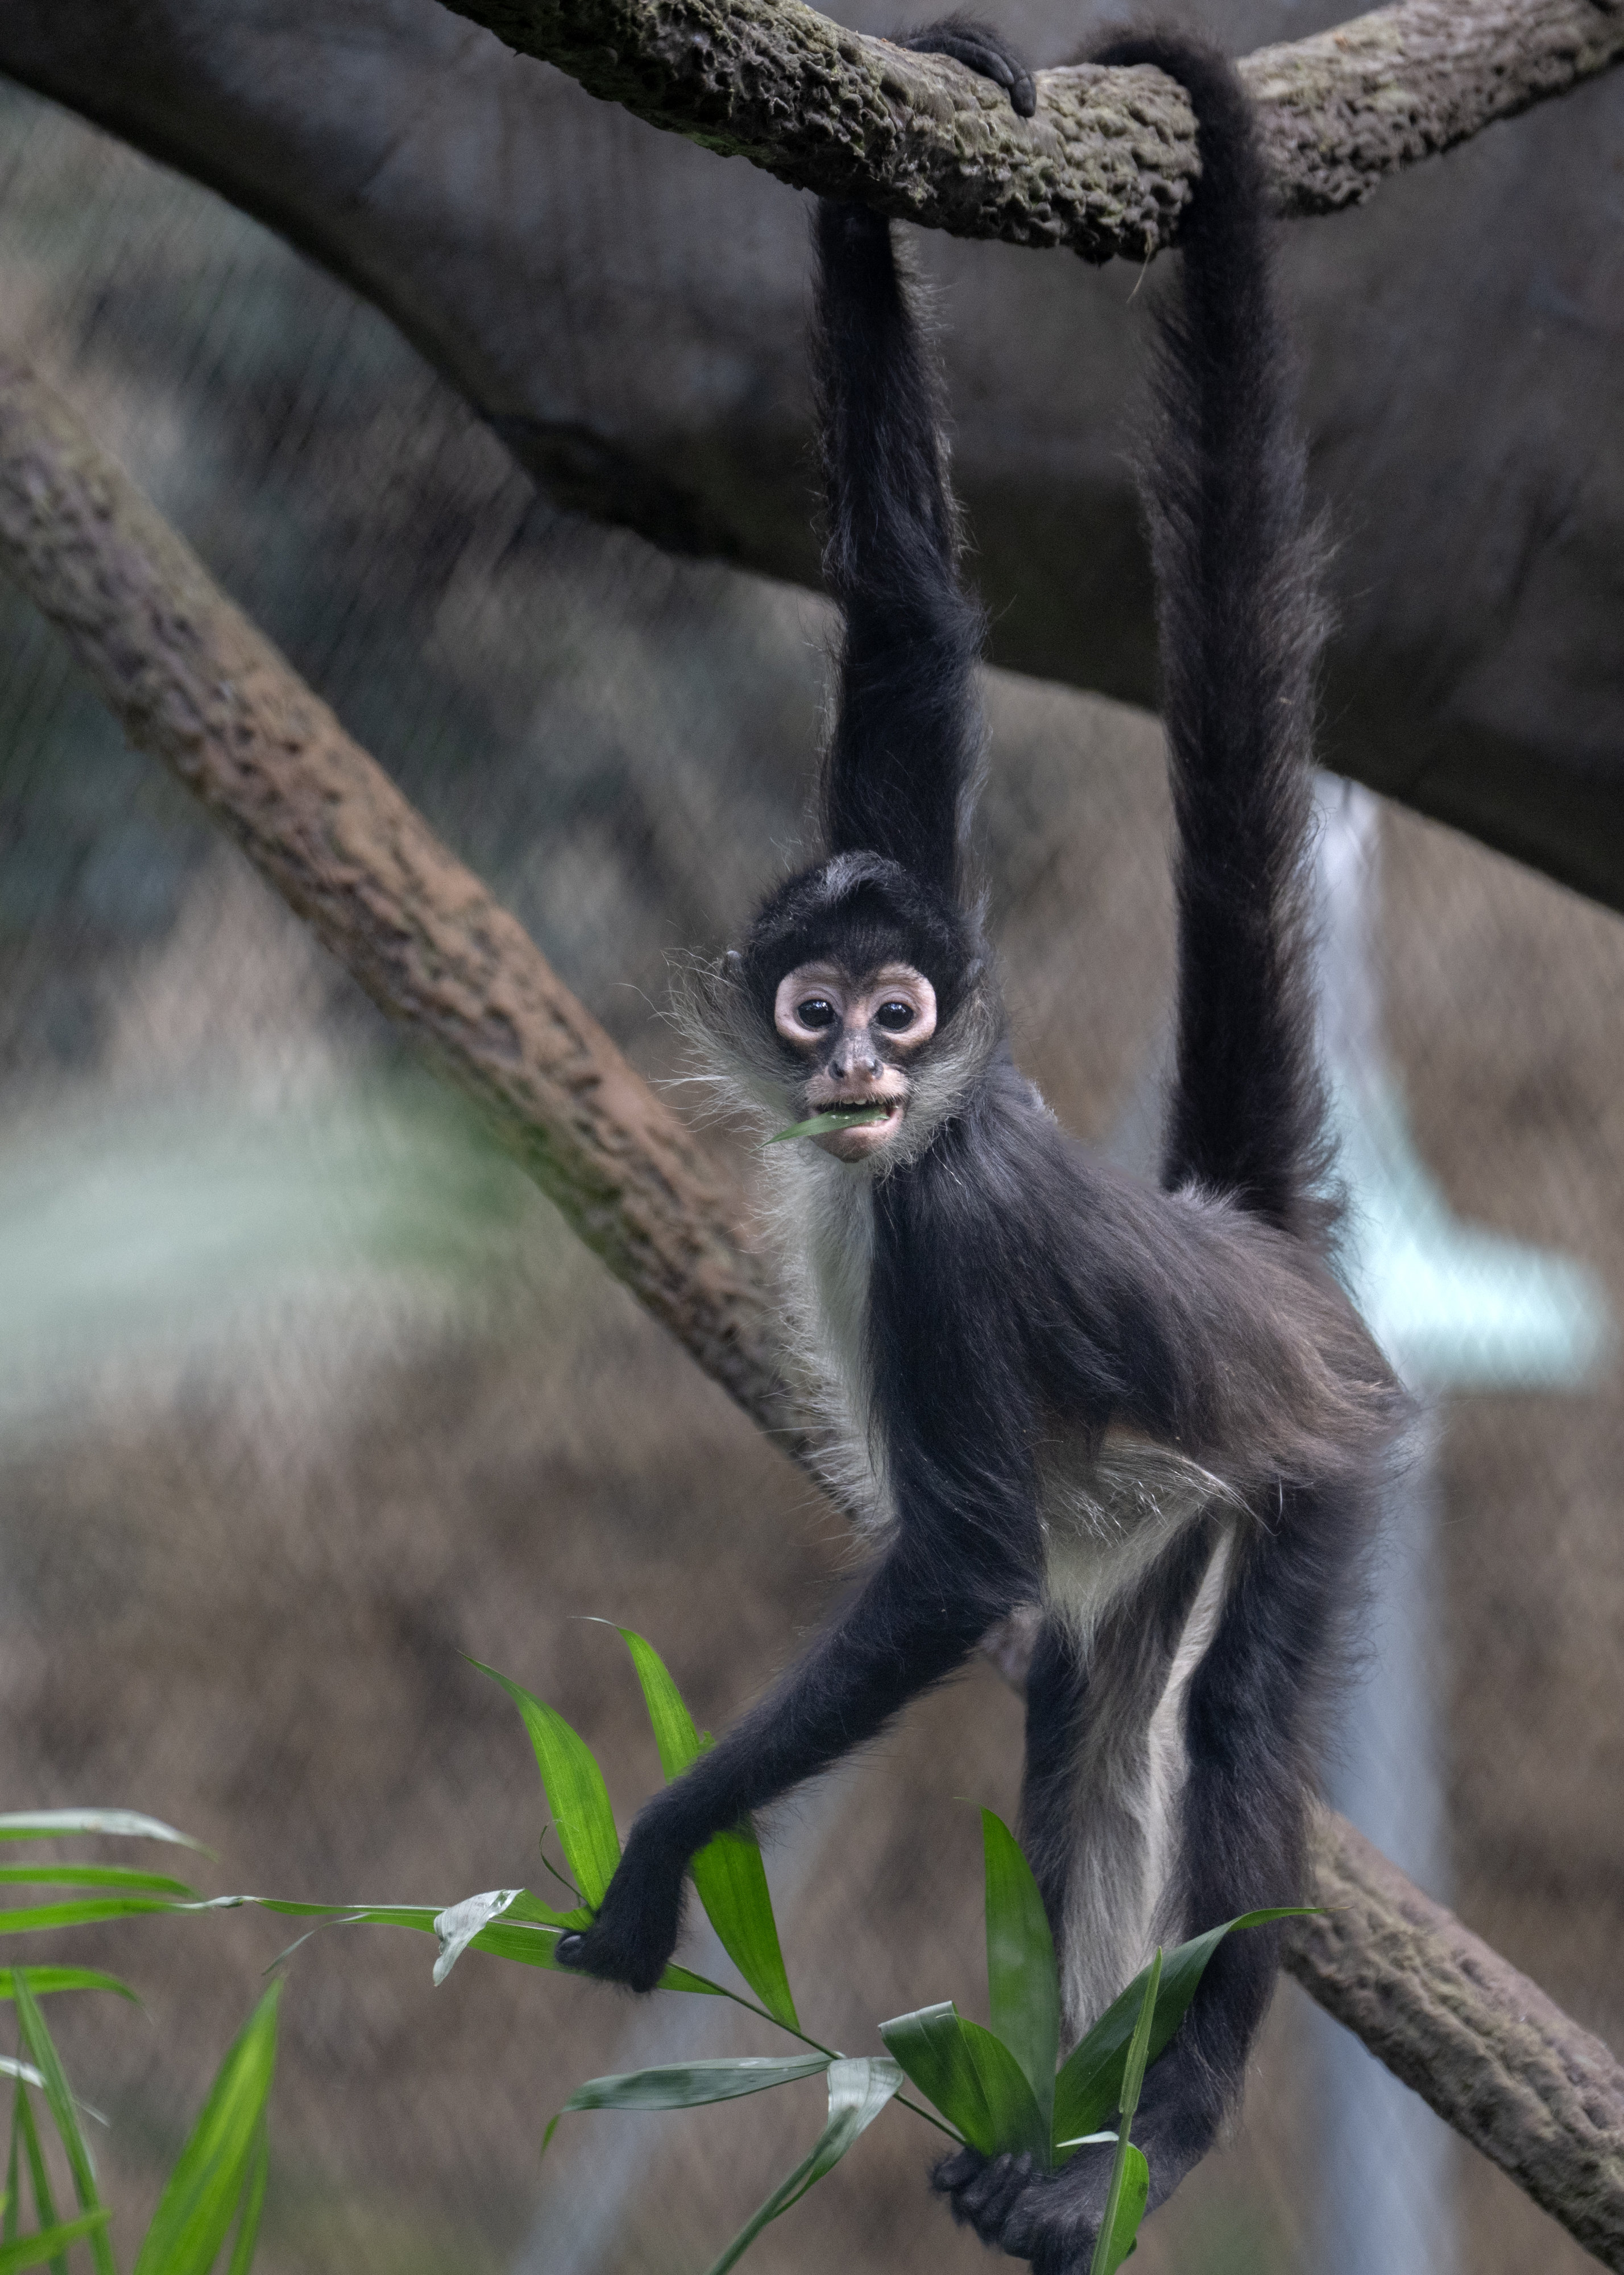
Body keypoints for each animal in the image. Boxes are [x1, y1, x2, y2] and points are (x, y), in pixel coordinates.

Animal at [556, 25, 1406, 2265]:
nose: (859, 1065)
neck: (897, 1152)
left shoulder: (939, 1236)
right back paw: (1058, 2140)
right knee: (1086, 1727)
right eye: (815, 1006)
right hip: (1182, 1504)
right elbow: (910, 618)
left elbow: (954, 1573)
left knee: (1224, 1740)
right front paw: (866, 206)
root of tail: (1246, 1250)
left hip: (1317, 1457)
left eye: (905, 1014)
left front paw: (660, 1851)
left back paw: (1154, 2133)